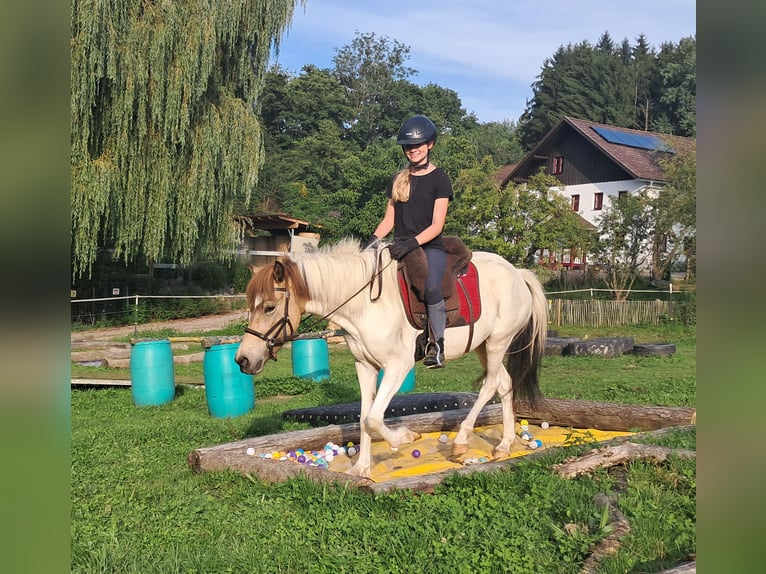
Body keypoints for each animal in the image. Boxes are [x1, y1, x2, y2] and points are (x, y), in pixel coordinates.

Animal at [235, 238, 548, 480]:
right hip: (484, 346)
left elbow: (374, 418)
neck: (363, 304)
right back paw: (505, 445)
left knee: (490, 385)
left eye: (269, 307)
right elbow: (364, 418)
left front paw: (405, 437)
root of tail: (518, 273)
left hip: (497, 343)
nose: (242, 360)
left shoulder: (398, 367)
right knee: (504, 384)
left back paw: (460, 441)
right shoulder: (365, 367)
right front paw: (361, 469)